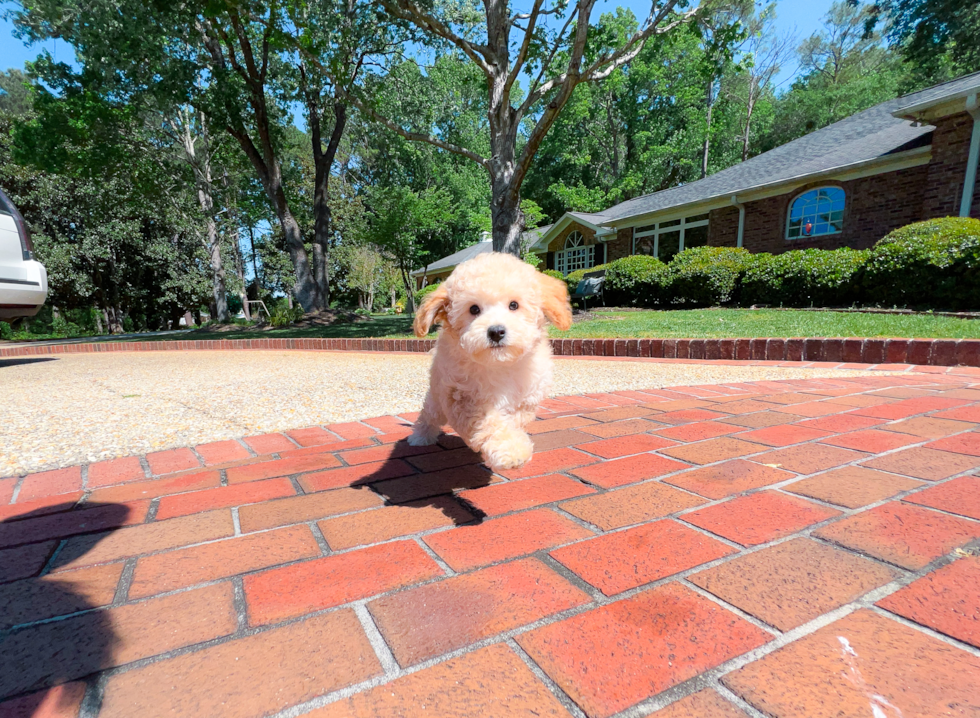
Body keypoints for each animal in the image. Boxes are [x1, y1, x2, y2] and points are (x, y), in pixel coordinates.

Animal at [408, 253, 576, 472]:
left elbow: (513, 419)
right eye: (474, 309)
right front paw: (510, 450)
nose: (496, 331)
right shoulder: (462, 396)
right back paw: (420, 436)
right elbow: (489, 422)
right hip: (437, 397)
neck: (499, 364)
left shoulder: (526, 398)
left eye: (514, 305)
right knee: (429, 415)